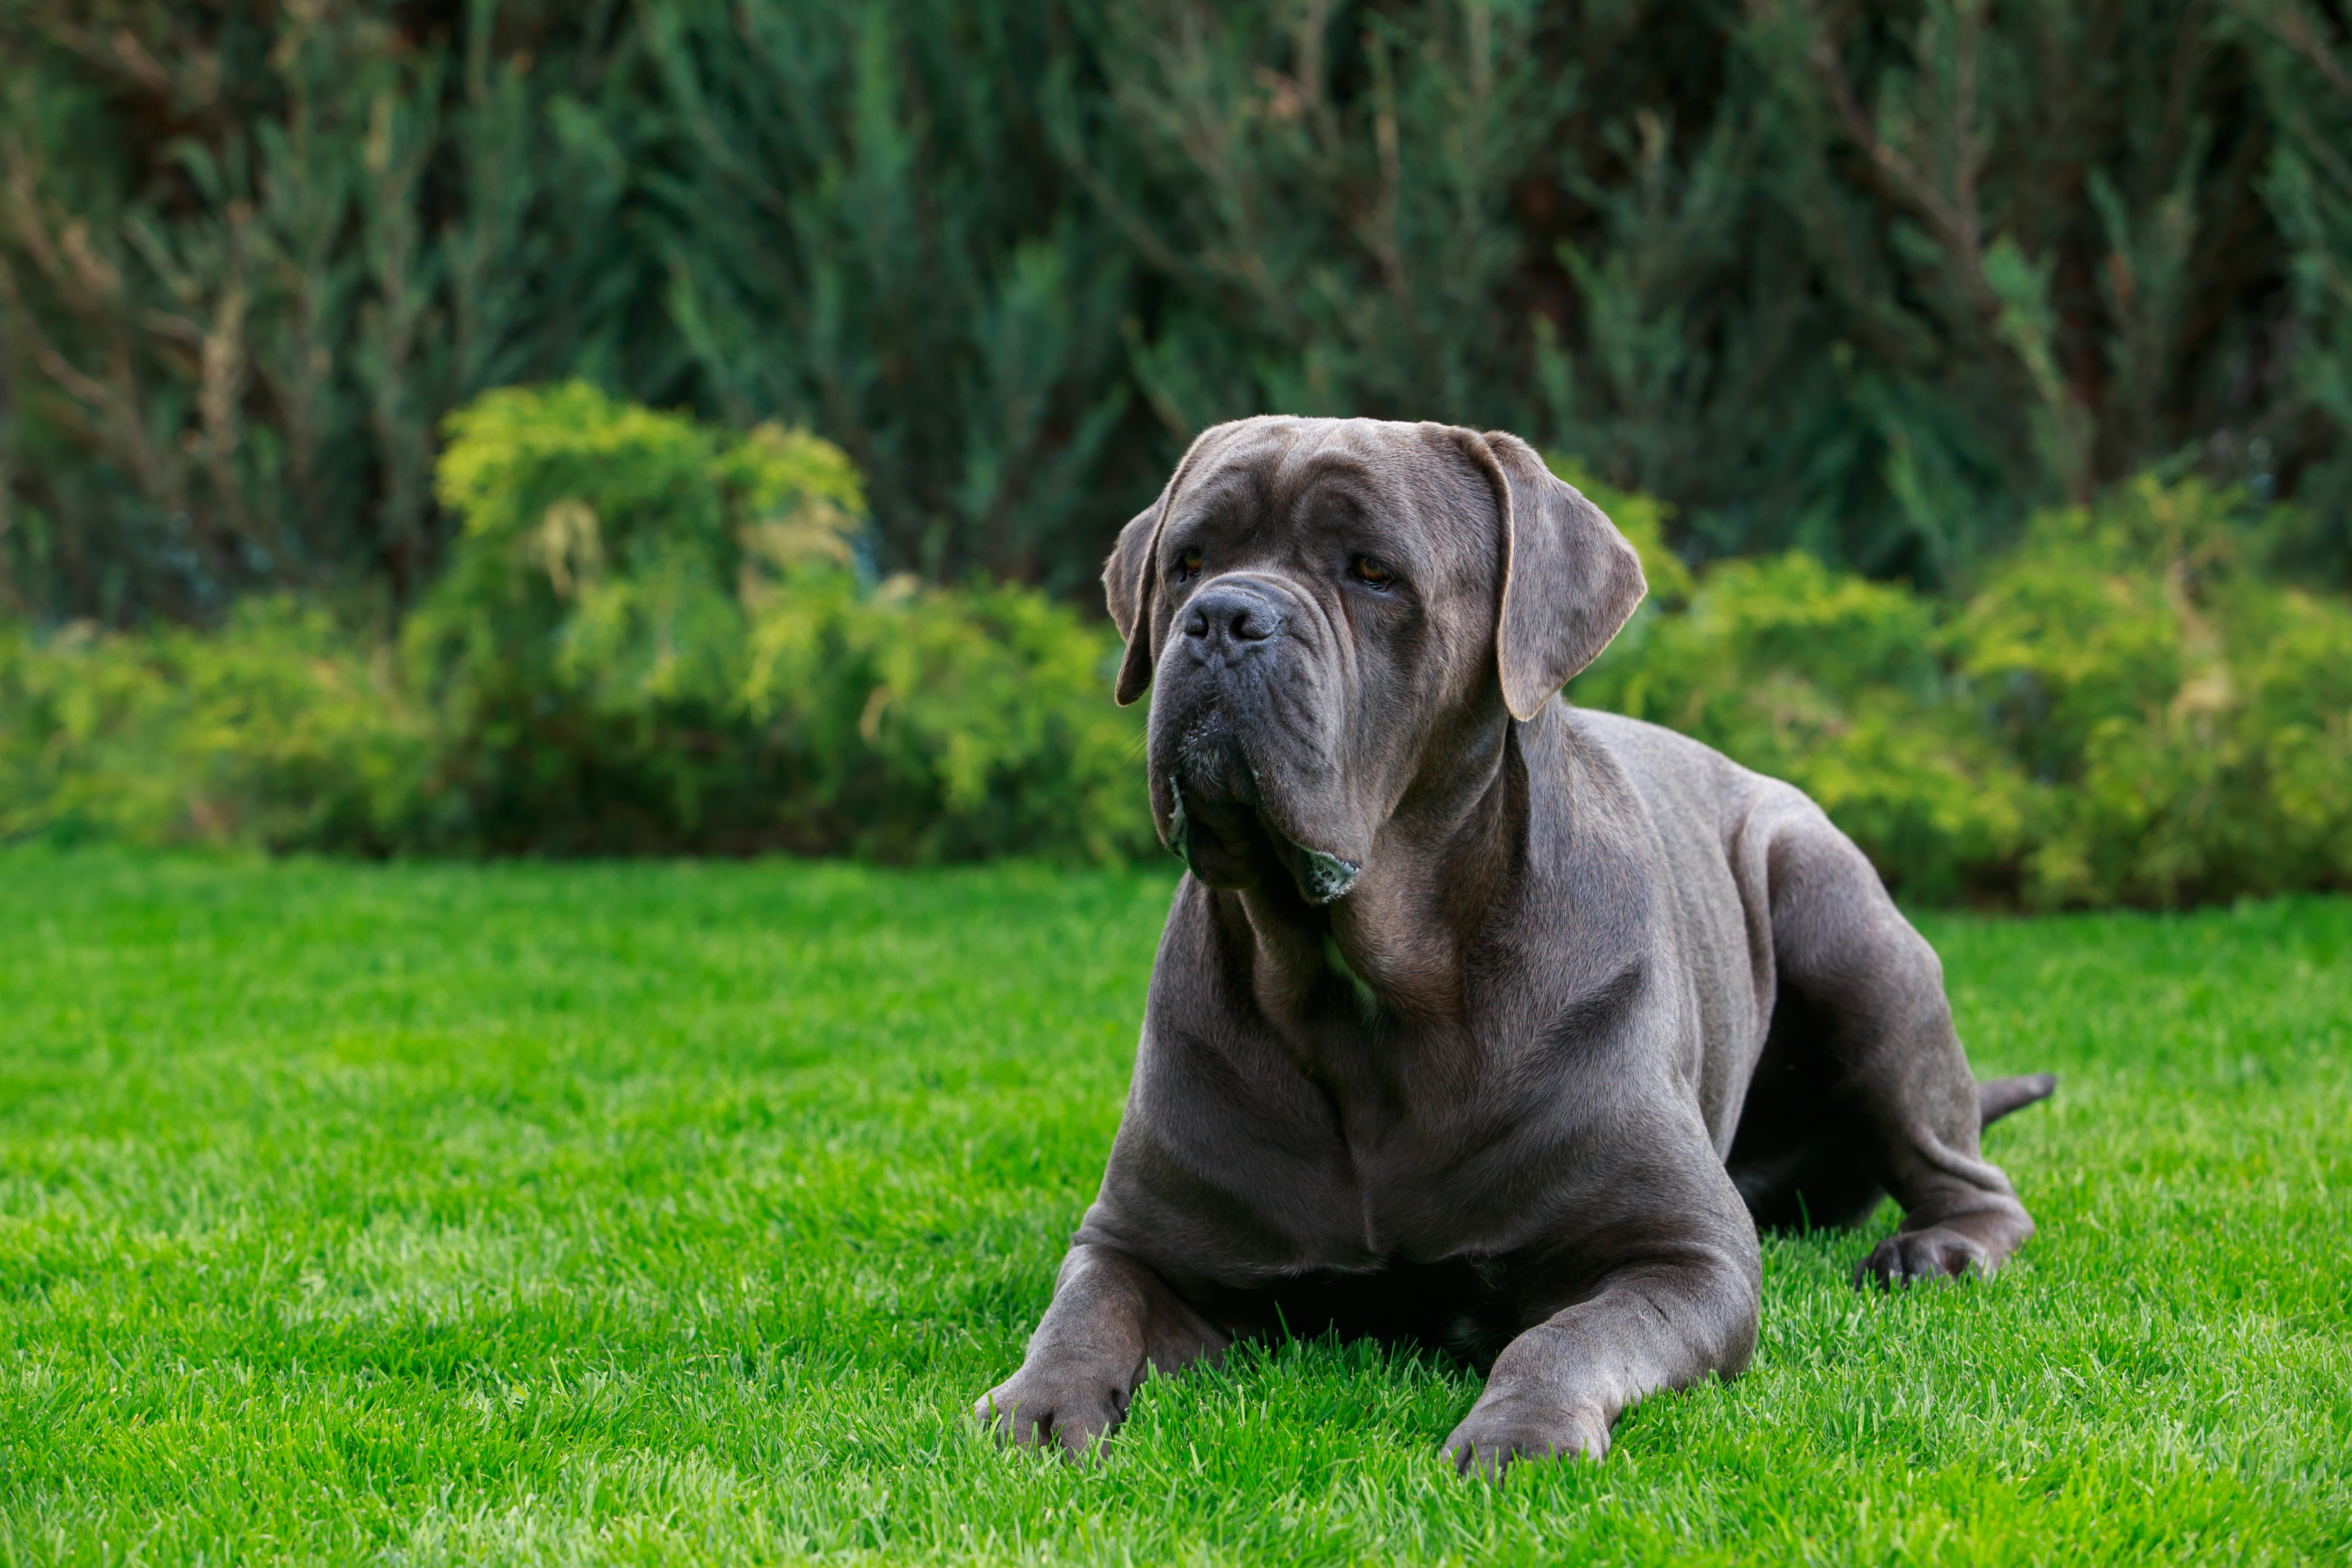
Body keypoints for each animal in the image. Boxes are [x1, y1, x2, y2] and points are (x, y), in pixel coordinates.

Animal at [973, 414, 2041, 1476]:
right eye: (1186, 563)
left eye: (1372, 571)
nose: (1223, 617)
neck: (1364, 992)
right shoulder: (1140, 1237)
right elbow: (1086, 1302)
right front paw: (1037, 1401)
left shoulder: (1684, 1255)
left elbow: (1565, 1334)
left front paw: (1519, 1431)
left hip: (1842, 923)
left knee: (1972, 1177)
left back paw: (1936, 1249)